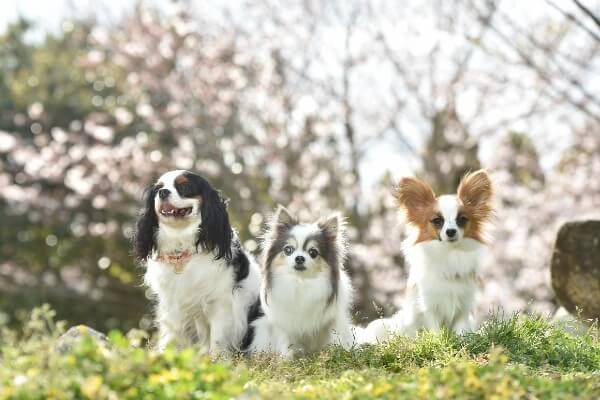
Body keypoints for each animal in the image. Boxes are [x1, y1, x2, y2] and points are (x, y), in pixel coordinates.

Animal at [135, 169, 258, 354]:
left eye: (185, 186)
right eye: (157, 189)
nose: (162, 192)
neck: (181, 246)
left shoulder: (220, 305)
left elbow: (217, 340)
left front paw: (215, 360)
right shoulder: (173, 307)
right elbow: (172, 336)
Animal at [245, 206, 356, 356]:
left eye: (313, 252)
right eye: (288, 250)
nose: (299, 258)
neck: (301, 282)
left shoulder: (333, 319)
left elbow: (335, 335)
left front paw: (337, 352)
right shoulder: (284, 323)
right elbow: (286, 341)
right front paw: (287, 357)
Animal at [358, 170, 494, 342]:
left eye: (462, 219)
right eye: (437, 221)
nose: (451, 231)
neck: (449, 253)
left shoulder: (464, 305)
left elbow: (460, 329)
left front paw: (461, 342)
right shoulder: (429, 305)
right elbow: (435, 329)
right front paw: (439, 342)